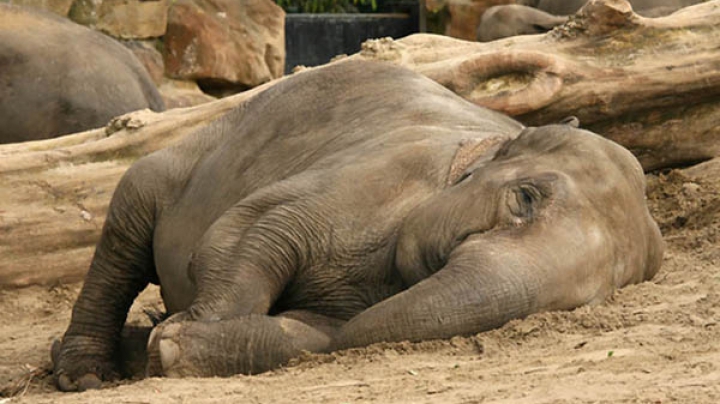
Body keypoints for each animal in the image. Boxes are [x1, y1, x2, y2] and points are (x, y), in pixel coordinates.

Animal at [53, 60, 664, 392]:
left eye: (588, 299)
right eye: (525, 199)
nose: (168, 331)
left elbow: (311, 334)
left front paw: (171, 343)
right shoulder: (379, 173)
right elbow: (250, 228)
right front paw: (175, 333)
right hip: (172, 166)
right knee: (123, 236)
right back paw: (85, 374)